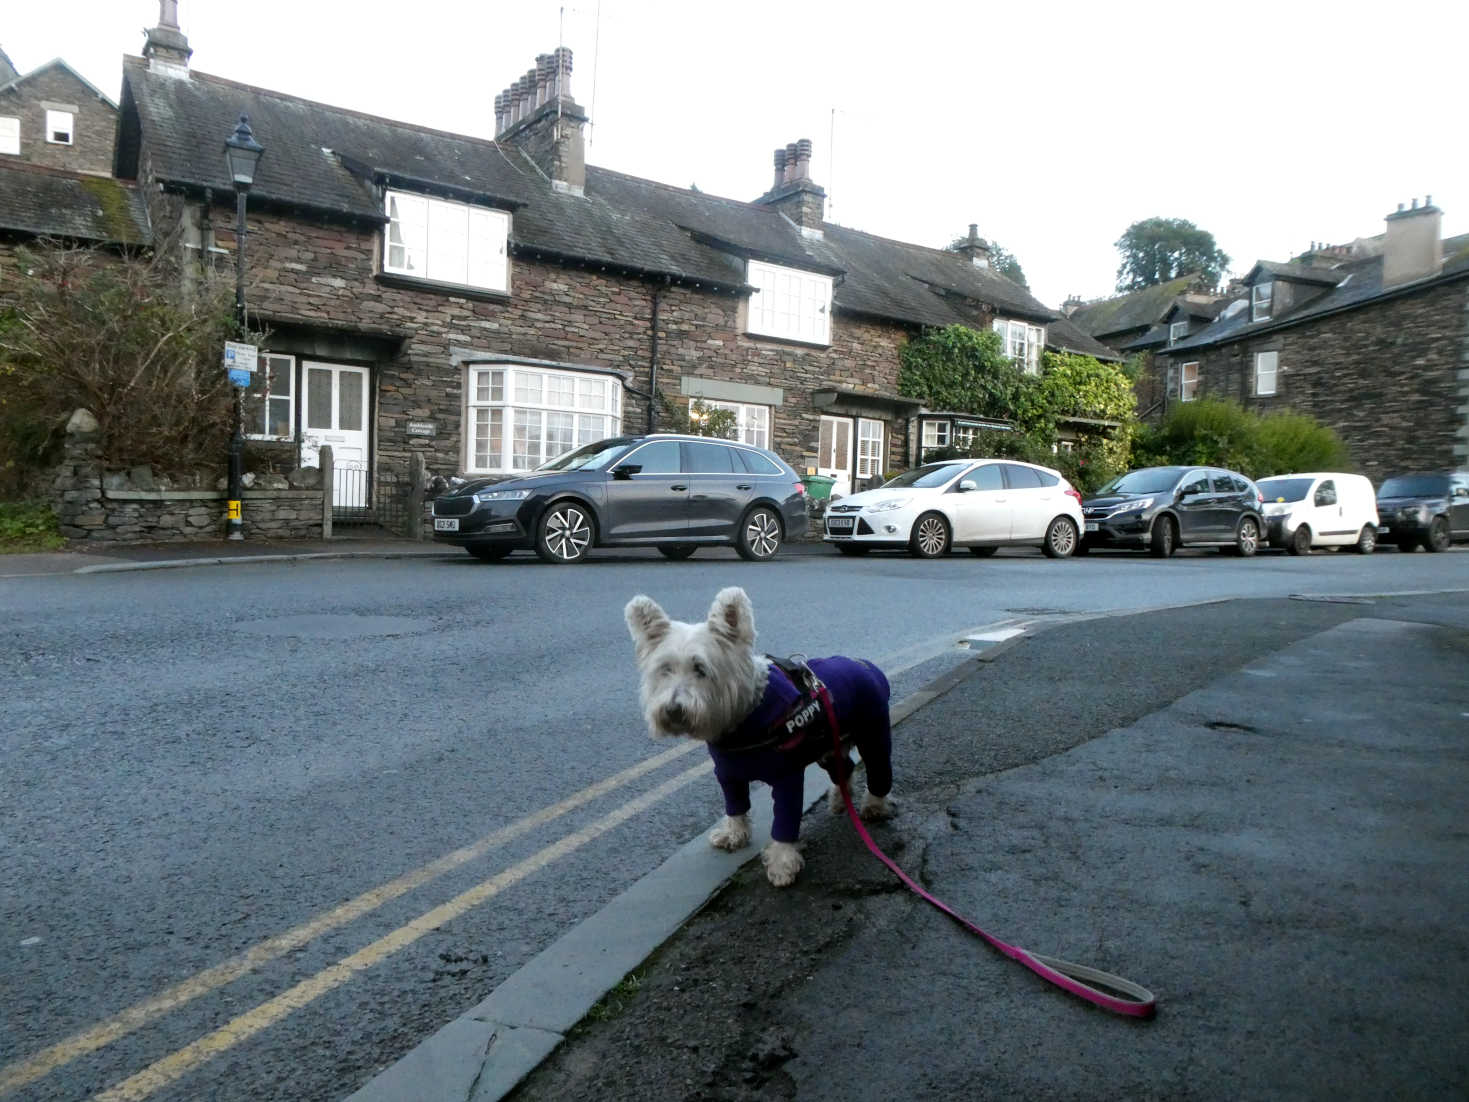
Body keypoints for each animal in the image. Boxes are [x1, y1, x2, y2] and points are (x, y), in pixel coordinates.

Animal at [622, 587, 893, 887]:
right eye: (665, 669)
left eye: (700, 669)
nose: (672, 710)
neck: (746, 717)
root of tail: (866, 665)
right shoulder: (727, 774)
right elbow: (735, 806)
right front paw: (733, 835)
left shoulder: (787, 777)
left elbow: (785, 821)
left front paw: (782, 863)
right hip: (830, 746)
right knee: (845, 768)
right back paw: (839, 800)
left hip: (874, 736)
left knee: (878, 772)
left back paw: (873, 806)